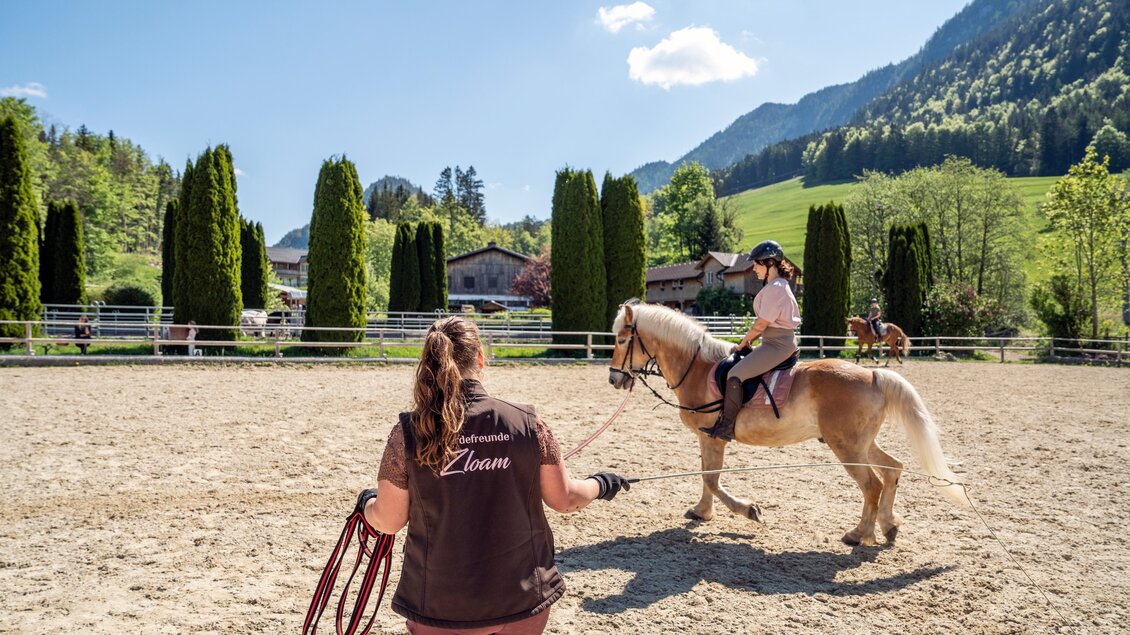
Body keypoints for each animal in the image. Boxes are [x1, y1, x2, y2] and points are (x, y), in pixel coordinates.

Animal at [608, 302, 965, 546]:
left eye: (623, 340)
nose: (614, 378)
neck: (698, 367)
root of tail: (873, 375)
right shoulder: (706, 437)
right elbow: (707, 476)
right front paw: (702, 512)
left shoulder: (714, 438)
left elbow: (711, 478)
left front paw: (748, 510)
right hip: (862, 444)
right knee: (893, 470)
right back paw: (888, 524)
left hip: (848, 447)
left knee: (872, 486)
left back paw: (860, 533)